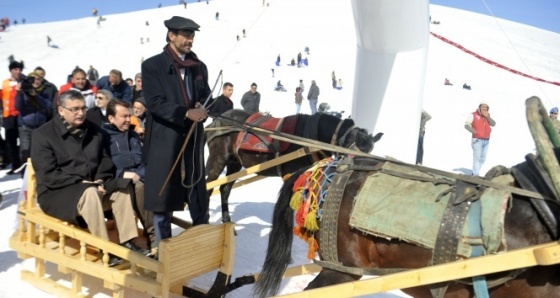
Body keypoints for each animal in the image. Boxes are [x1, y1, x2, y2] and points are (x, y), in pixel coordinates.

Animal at [206, 109, 384, 224]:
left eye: (370, 152)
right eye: (352, 148)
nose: (359, 177)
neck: (309, 138)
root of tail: (215, 122)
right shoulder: (291, 176)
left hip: (234, 163)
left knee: (224, 189)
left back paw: (226, 220)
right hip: (218, 159)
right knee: (208, 186)